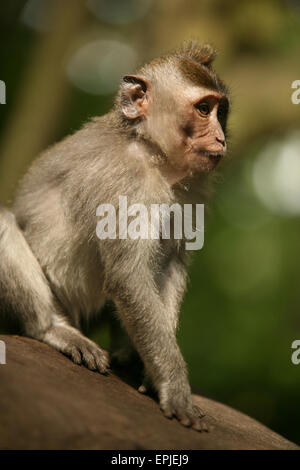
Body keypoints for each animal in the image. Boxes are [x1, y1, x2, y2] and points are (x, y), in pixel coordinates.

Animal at [0, 42, 230, 432]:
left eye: (221, 111)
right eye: (203, 109)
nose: (221, 138)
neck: (151, 152)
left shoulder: (193, 189)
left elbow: (169, 263)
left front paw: (153, 373)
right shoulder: (127, 182)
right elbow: (128, 276)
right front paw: (175, 387)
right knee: (3, 223)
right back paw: (53, 329)